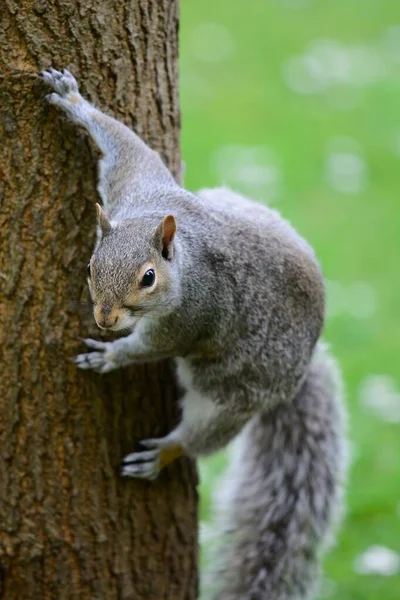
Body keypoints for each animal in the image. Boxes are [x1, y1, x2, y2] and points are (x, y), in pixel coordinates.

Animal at [40, 68, 346, 600]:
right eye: (90, 266)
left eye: (147, 278)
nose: (105, 319)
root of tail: (300, 367)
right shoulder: (134, 184)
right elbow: (126, 145)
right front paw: (74, 102)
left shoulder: (191, 318)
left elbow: (153, 347)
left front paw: (111, 356)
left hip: (233, 397)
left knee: (203, 434)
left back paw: (165, 451)